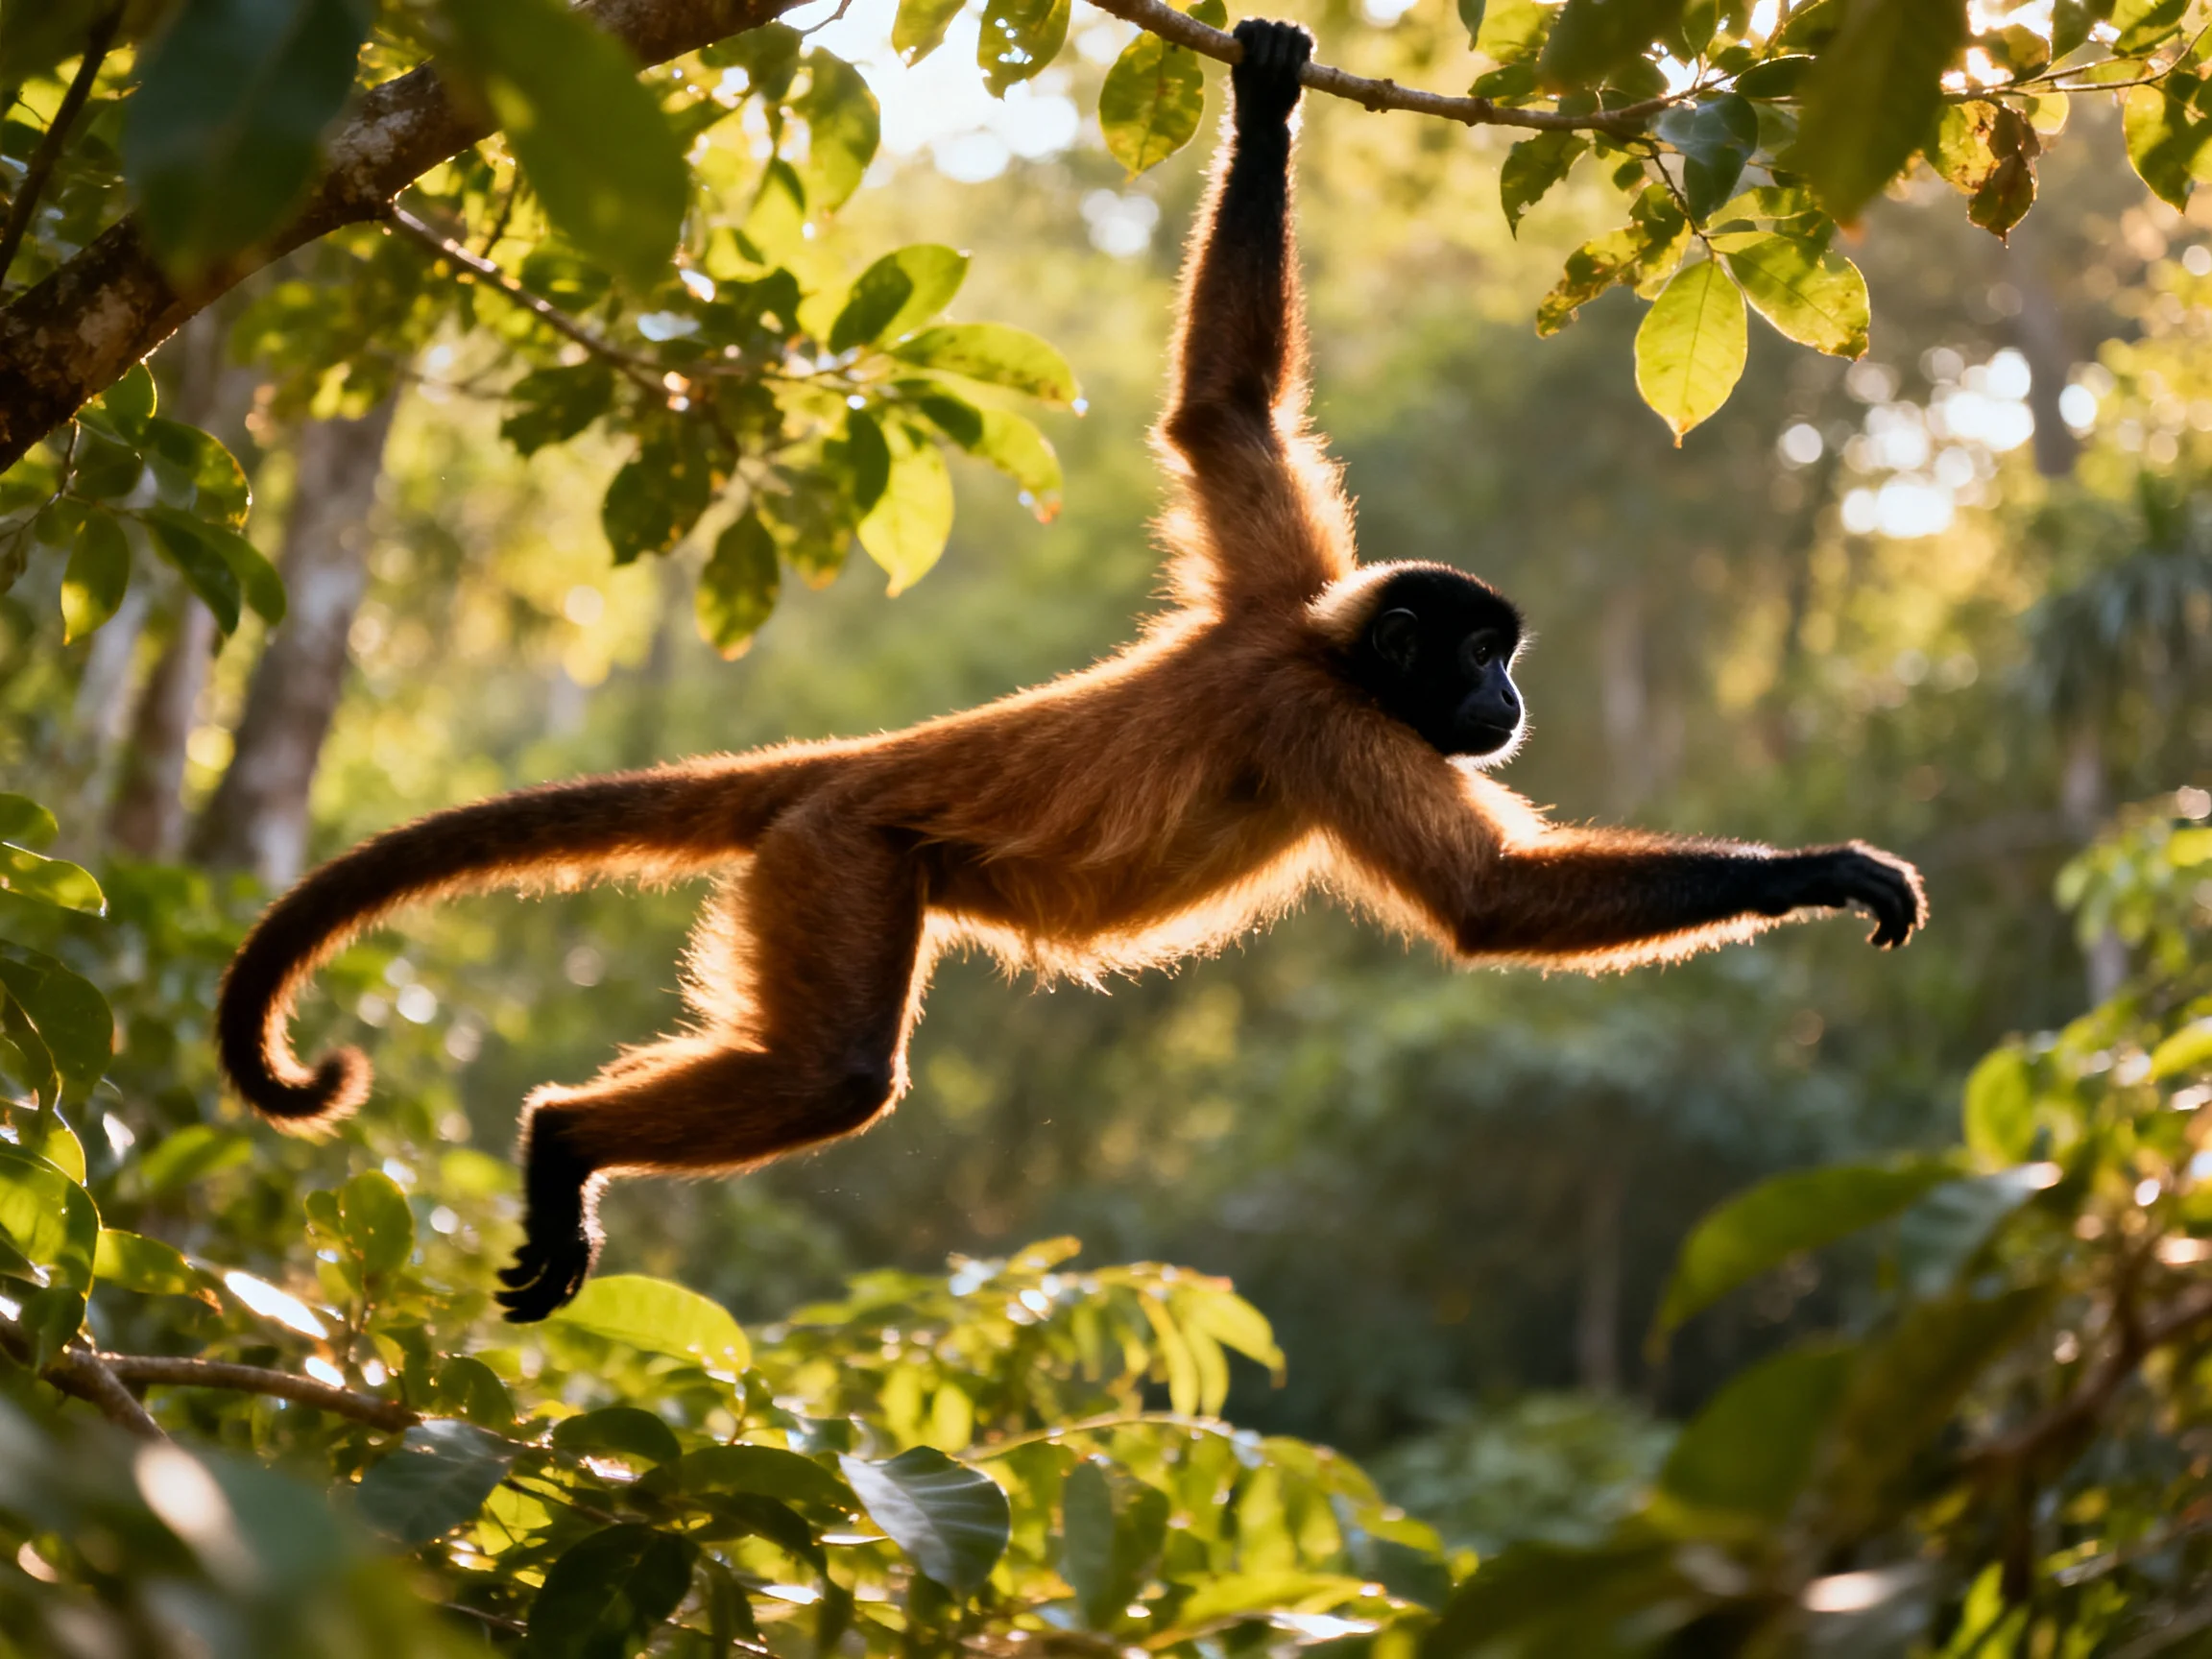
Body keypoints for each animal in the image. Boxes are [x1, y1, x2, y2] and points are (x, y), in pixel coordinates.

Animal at [217, 19, 1925, 1323]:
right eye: (1480, 659)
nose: (1509, 702)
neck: (1328, 652)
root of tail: (851, 768)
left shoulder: (1286, 589)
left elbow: (1226, 414)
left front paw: (1268, 105)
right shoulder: (1326, 714)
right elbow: (1487, 905)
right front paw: (1825, 871)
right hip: (842, 856)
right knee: (838, 1070)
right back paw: (566, 1141)